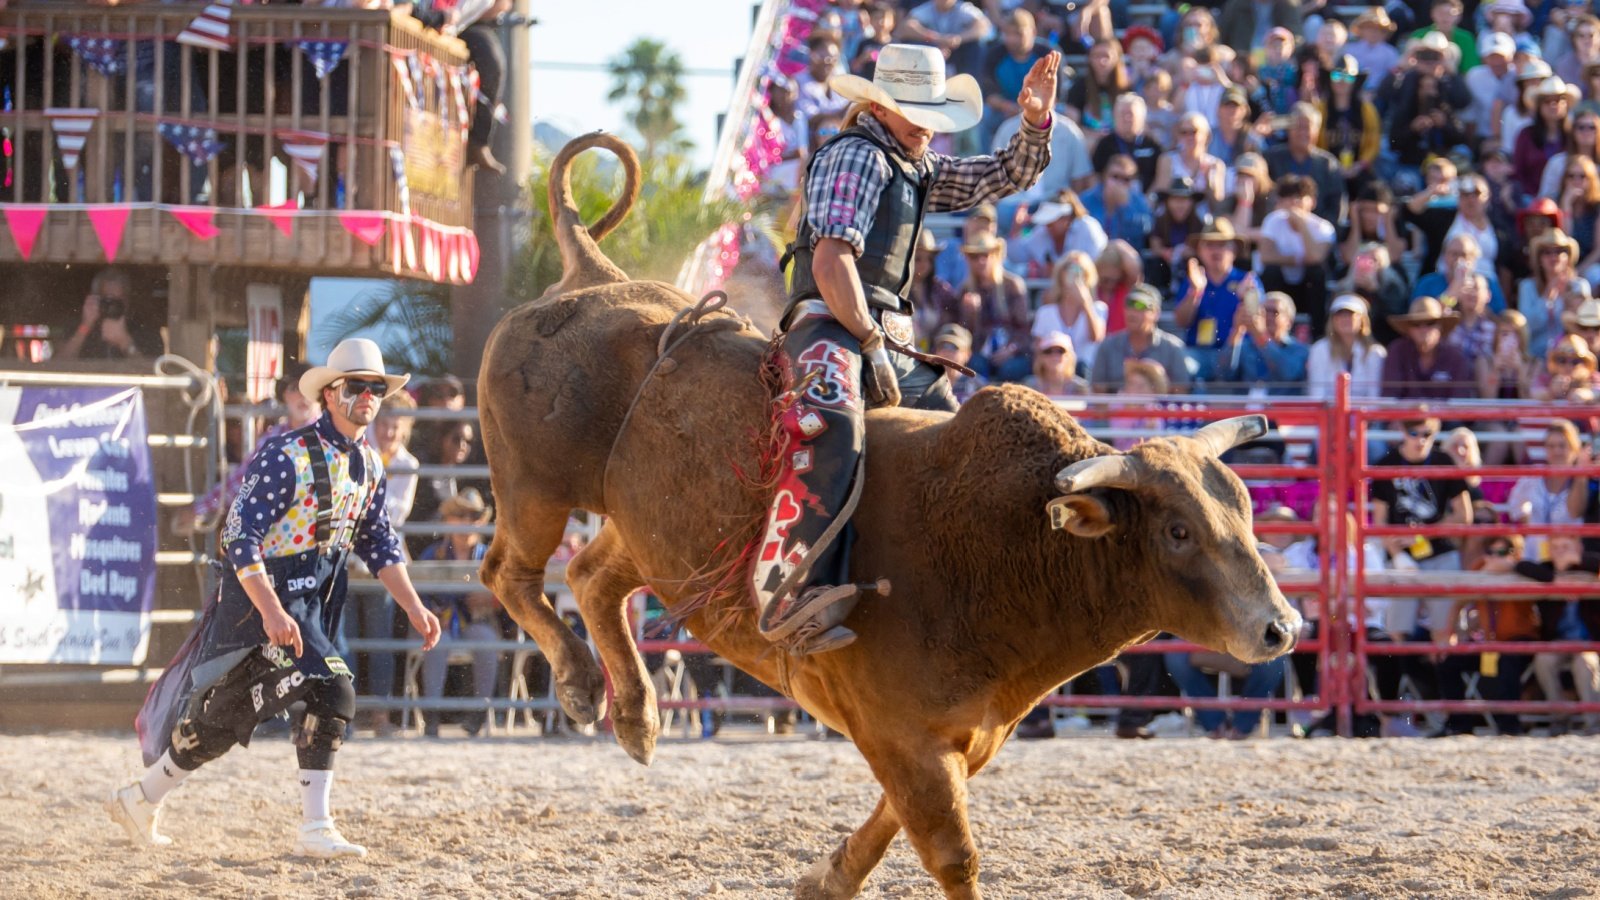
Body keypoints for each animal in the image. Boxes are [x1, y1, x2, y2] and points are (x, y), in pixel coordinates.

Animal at [473, 134, 1299, 896]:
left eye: (1244, 511)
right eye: (1178, 531)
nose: (1280, 628)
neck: (1006, 546)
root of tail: (594, 278)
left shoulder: (960, 738)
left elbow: (891, 823)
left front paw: (823, 878)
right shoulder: (905, 738)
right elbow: (950, 851)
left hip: (648, 537)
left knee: (592, 577)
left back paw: (637, 717)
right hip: (535, 490)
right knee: (510, 574)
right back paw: (582, 684)